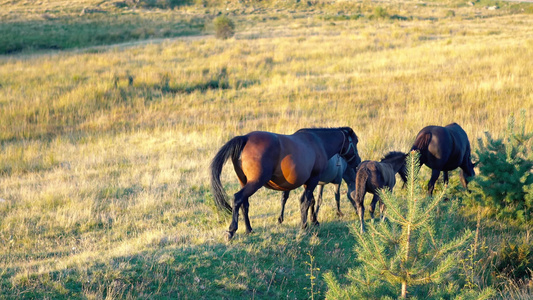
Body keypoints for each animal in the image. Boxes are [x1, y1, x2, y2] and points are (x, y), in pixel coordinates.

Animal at [210, 127, 360, 240]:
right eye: (356, 142)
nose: (358, 161)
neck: (318, 143)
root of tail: (245, 138)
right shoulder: (313, 180)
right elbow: (306, 201)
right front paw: (304, 225)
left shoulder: (308, 182)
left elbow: (310, 201)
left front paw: (313, 221)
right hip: (255, 182)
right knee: (237, 198)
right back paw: (231, 230)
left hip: (244, 182)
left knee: (244, 204)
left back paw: (249, 229)